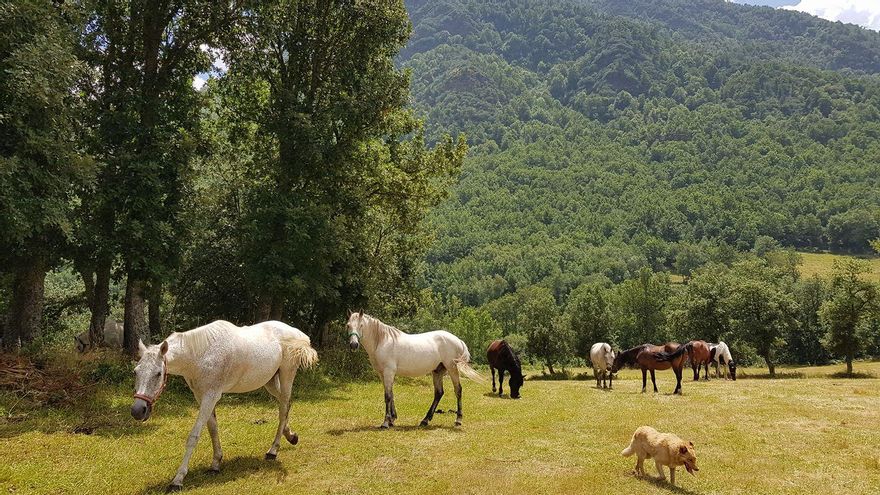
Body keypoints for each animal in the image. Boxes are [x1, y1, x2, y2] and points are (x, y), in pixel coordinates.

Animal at [131, 320, 318, 491]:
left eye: (158, 373)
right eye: (135, 372)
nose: (137, 410)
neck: (201, 355)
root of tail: (299, 334)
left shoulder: (210, 396)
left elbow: (194, 436)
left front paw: (178, 480)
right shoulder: (202, 397)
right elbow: (213, 429)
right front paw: (216, 464)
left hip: (287, 375)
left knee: (283, 408)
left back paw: (273, 451)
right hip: (270, 382)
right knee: (285, 405)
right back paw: (291, 436)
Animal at [347, 312, 482, 428]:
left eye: (361, 325)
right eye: (348, 325)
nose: (353, 345)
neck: (382, 341)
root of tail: (458, 340)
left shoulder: (388, 372)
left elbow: (388, 396)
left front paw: (385, 422)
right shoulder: (382, 374)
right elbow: (390, 393)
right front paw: (392, 419)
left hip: (452, 368)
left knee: (458, 390)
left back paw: (458, 420)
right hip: (438, 371)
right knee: (439, 393)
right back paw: (425, 420)